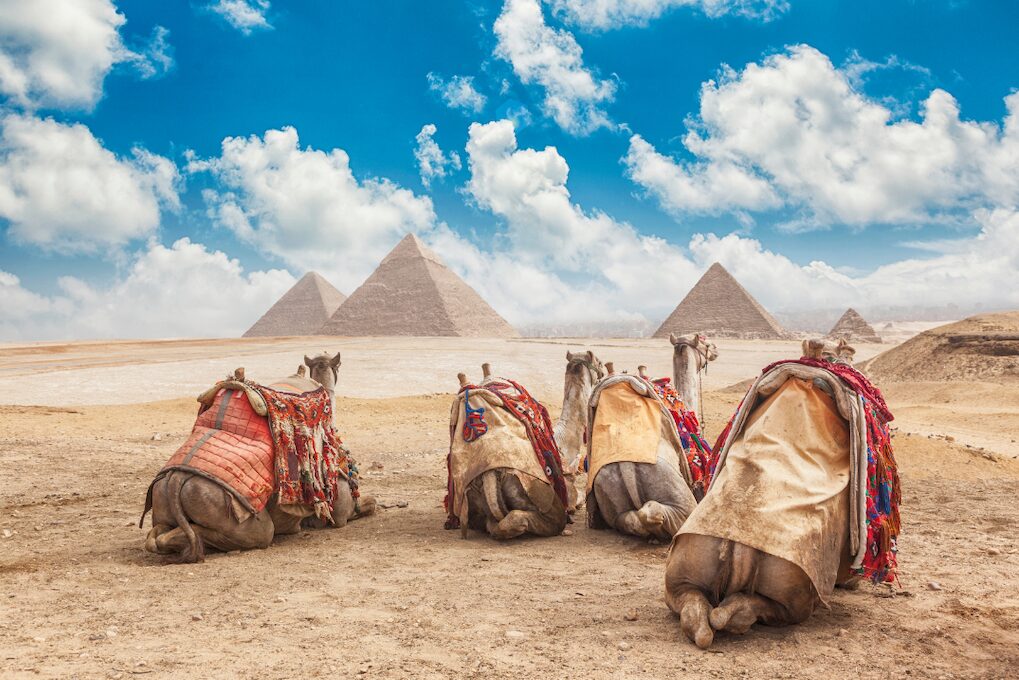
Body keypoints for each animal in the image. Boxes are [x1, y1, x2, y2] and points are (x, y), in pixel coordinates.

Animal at [143, 352, 375, 562]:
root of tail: (176, 479)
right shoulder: (339, 510)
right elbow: (369, 504)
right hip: (227, 509)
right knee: (260, 533)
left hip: (163, 497)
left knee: (156, 537)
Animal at [664, 338, 885, 649]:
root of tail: (737, 545)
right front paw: (851, 582)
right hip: (793, 593)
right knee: (763, 609)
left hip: (682, 573)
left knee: (695, 610)